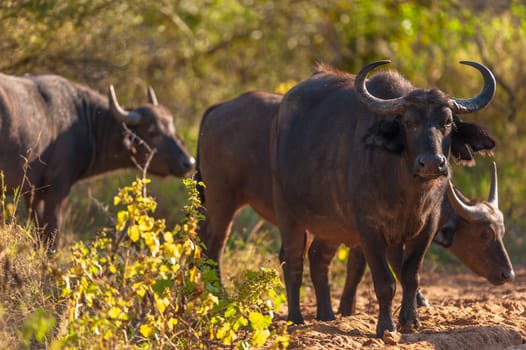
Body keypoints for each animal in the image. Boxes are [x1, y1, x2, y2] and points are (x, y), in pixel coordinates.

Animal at [0, 73, 196, 249]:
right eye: (152, 131)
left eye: (171, 127)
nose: (189, 162)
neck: (85, 121)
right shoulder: (56, 191)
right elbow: (51, 239)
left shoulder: (32, 193)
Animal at [197, 89, 516, 322]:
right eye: (483, 234)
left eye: (502, 233)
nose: (507, 274)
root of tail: (218, 108)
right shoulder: (369, 228)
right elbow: (384, 268)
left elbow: (363, 267)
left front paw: (348, 310)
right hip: (225, 200)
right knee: (217, 245)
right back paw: (227, 298)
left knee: (313, 257)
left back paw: (324, 314)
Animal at [270, 60, 502, 336]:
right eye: (409, 122)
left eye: (447, 122)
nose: (431, 163)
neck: (407, 190)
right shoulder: (369, 229)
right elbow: (385, 282)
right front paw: (386, 327)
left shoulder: (425, 227)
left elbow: (410, 275)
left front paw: (410, 321)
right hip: (289, 215)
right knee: (293, 261)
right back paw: (296, 319)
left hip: (331, 226)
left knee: (318, 258)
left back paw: (326, 316)